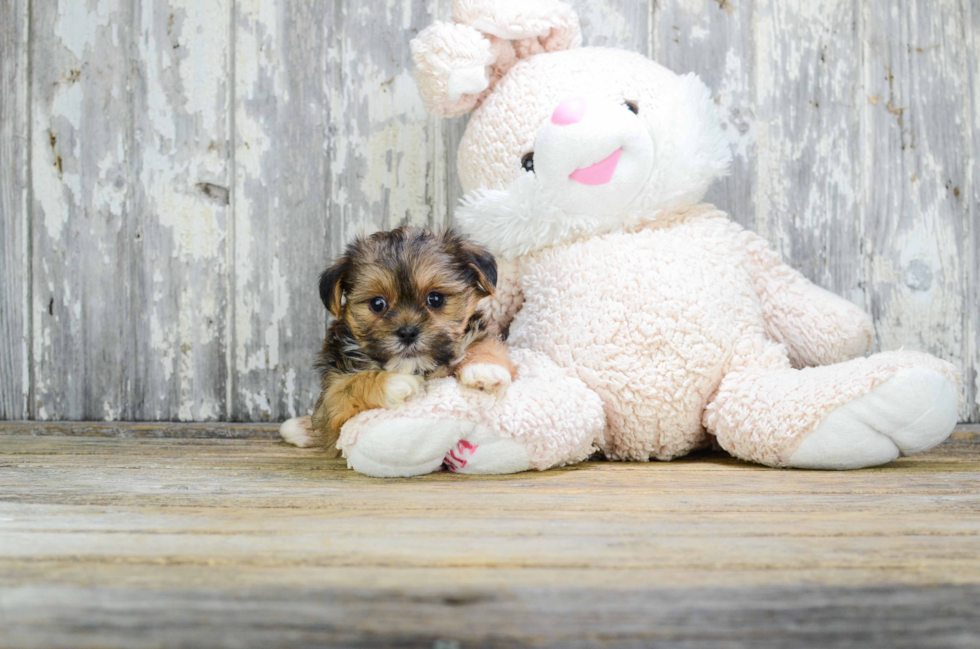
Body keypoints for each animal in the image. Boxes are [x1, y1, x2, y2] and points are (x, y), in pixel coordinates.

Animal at [282, 228, 516, 456]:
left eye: (436, 299)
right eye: (377, 304)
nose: (407, 332)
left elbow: (482, 342)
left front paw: (485, 369)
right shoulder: (333, 402)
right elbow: (350, 386)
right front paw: (393, 382)